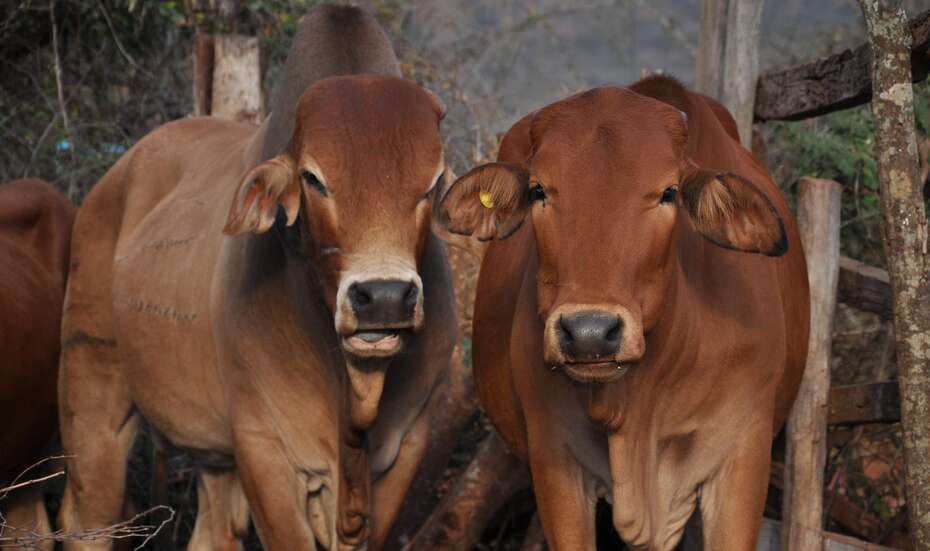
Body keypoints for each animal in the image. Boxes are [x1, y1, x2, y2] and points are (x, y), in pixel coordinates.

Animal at [57, 5, 455, 550]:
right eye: (313, 179)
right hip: (92, 383)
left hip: (211, 457)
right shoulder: (263, 447)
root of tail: (113, 178)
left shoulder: (408, 442)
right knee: (88, 517)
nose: (385, 297)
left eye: (432, 183)